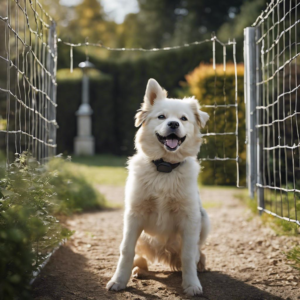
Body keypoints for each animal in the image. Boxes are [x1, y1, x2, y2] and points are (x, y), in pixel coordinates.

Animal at [106, 78, 210, 296]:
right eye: (161, 116)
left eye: (183, 119)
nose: (173, 124)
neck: (165, 168)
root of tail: (165, 253)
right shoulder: (134, 215)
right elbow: (126, 250)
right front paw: (118, 281)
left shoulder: (190, 217)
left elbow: (189, 255)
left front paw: (191, 284)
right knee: (140, 256)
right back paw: (139, 270)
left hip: (204, 219)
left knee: (197, 252)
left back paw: (200, 264)